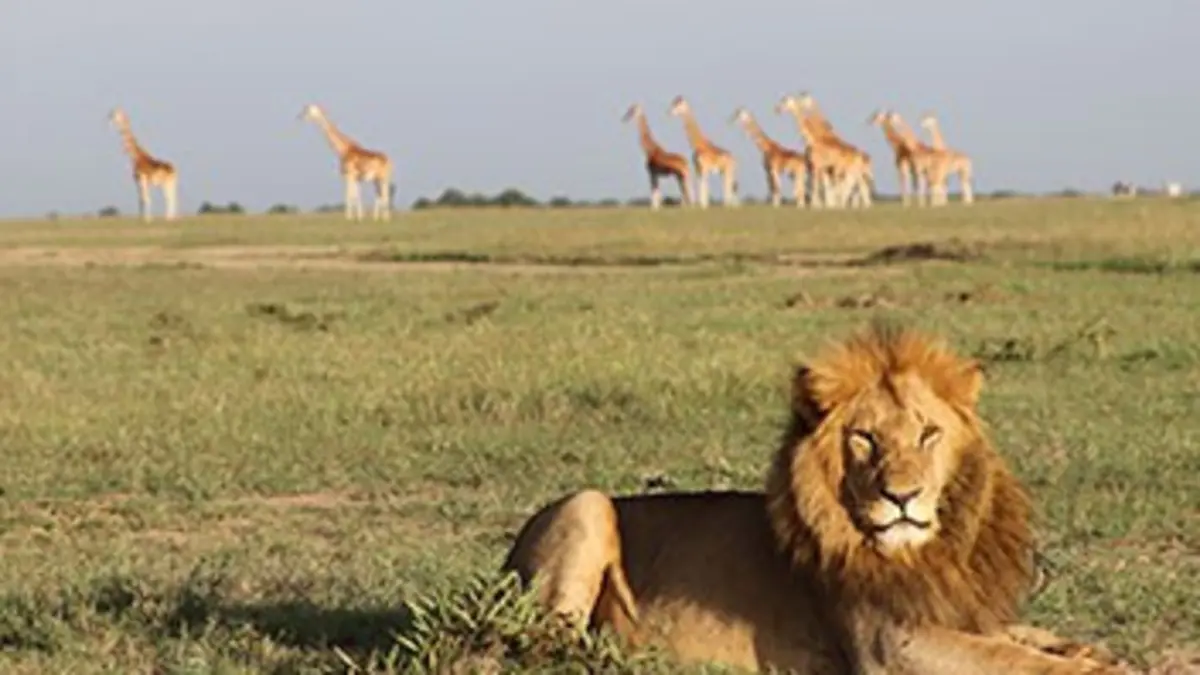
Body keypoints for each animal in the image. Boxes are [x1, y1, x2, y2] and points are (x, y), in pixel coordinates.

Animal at [501, 323, 1127, 674]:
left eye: (928, 434)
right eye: (865, 438)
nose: (902, 497)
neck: (927, 549)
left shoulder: (957, 610)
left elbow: (1026, 638)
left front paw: (1092, 650)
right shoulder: (890, 644)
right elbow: (1014, 658)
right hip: (586, 505)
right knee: (542, 647)